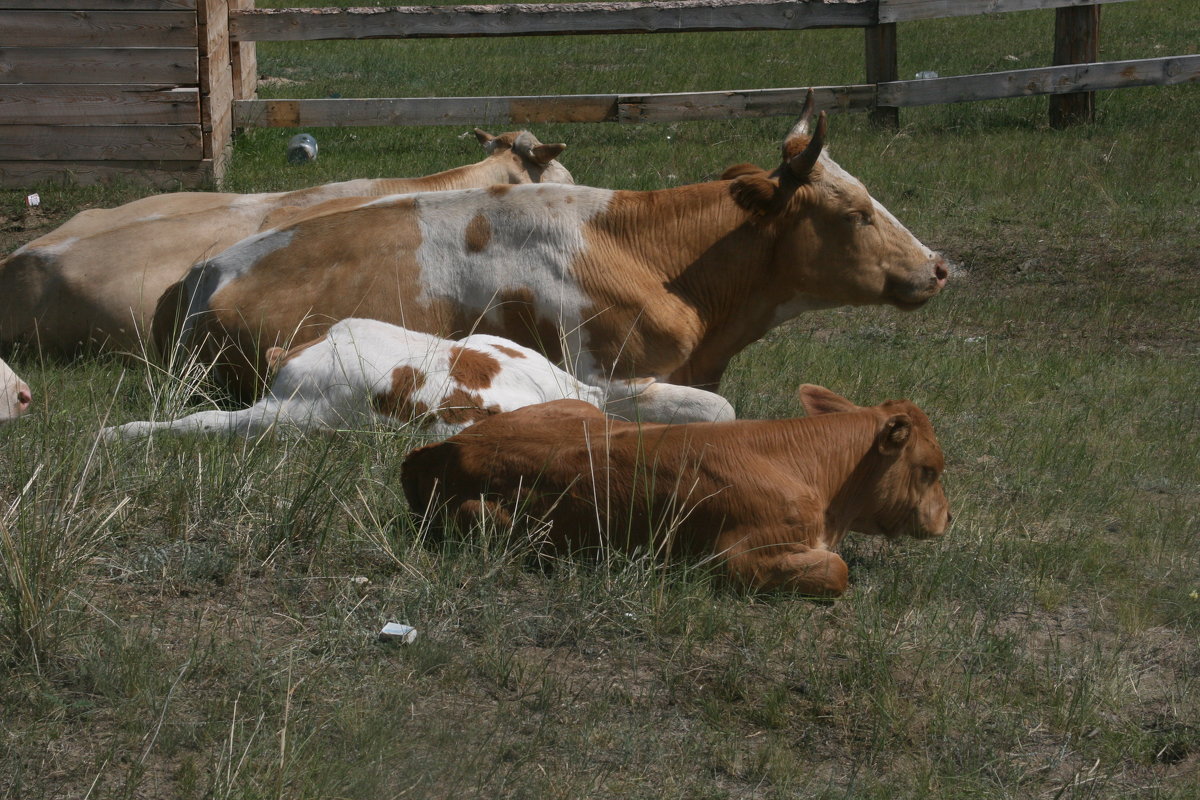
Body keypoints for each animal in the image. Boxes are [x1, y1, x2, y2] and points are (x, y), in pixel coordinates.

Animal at [403, 383, 945, 597]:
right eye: (930, 470)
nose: (947, 518)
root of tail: (450, 444)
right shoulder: (737, 559)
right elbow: (838, 571)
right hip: (487, 519)